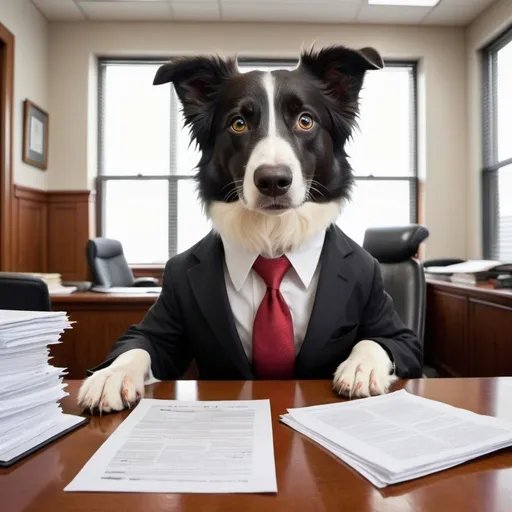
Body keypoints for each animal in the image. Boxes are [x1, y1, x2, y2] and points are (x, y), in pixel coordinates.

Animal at [77, 43, 420, 412]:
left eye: (305, 120)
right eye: (238, 124)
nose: (273, 181)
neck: (273, 240)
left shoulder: (388, 316)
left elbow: (383, 340)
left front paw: (360, 367)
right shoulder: (164, 315)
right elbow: (139, 343)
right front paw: (112, 375)